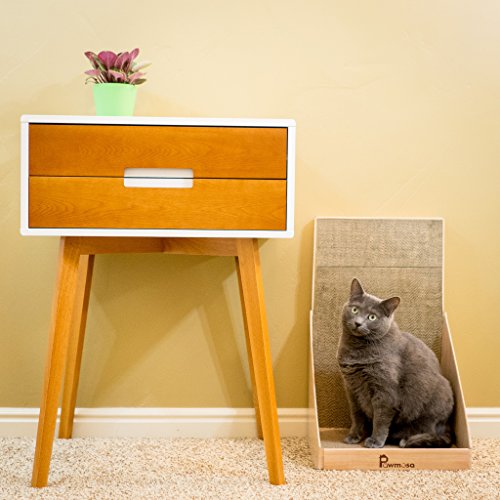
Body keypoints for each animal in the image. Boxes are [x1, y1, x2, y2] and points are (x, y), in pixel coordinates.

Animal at [336, 278, 454, 450]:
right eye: (355, 309)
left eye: (372, 317)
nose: (358, 323)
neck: (357, 350)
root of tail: (447, 425)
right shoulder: (351, 388)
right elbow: (357, 414)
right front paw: (354, 436)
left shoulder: (385, 391)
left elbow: (380, 419)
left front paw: (375, 441)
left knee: (427, 430)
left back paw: (406, 439)